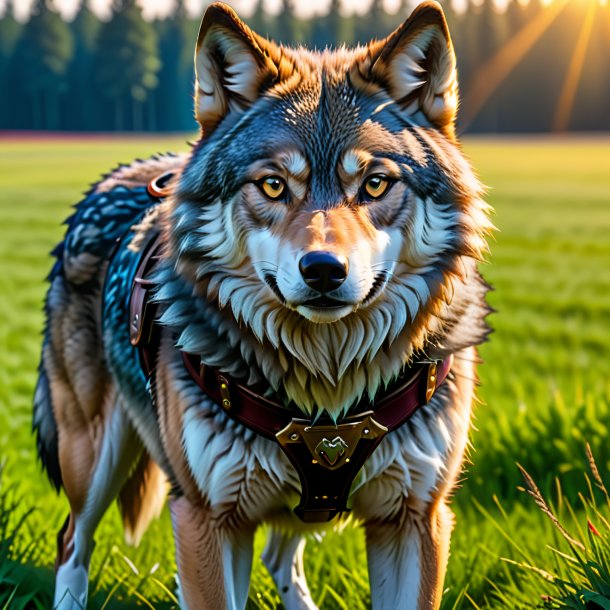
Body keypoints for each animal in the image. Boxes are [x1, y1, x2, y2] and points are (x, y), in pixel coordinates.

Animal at [33, 2, 492, 604]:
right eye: (273, 186)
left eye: (374, 184)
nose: (323, 270)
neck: (328, 391)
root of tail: (122, 174)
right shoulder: (206, 517)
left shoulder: (416, 517)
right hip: (93, 460)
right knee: (71, 540)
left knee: (280, 555)